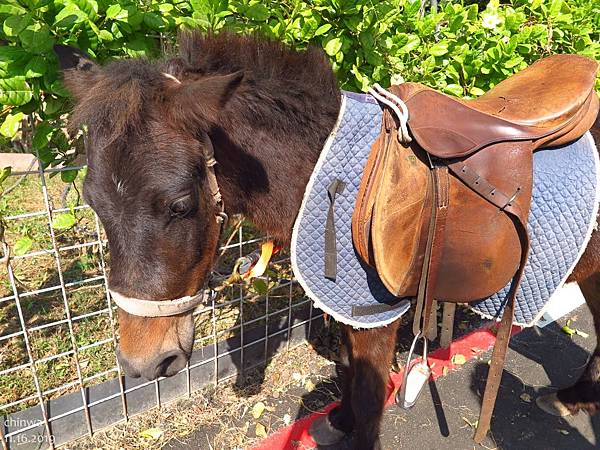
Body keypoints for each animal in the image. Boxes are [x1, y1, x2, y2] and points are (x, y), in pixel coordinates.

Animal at [54, 34, 596, 450]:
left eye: (181, 205)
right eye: (93, 201)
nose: (143, 363)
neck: (317, 166)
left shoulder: (375, 312)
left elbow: (369, 392)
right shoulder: (350, 310)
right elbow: (351, 373)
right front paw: (339, 421)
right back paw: (570, 397)